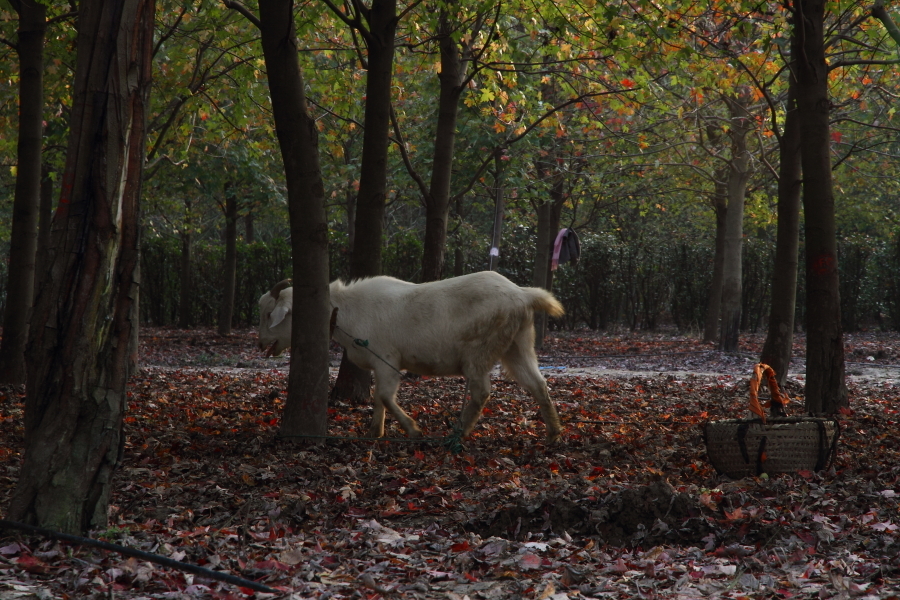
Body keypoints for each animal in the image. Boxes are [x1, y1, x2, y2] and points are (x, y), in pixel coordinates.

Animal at [256, 272, 564, 440]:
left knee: (481, 392)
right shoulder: (378, 363)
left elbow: (384, 395)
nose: (261, 344)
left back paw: (460, 432)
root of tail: (523, 295)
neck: (347, 310)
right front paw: (375, 432)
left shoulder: (387, 358)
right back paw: (554, 432)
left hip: (481, 349)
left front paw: (413, 430)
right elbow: (378, 396)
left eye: (270, 314)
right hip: (518, 344)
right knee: (538, 384)